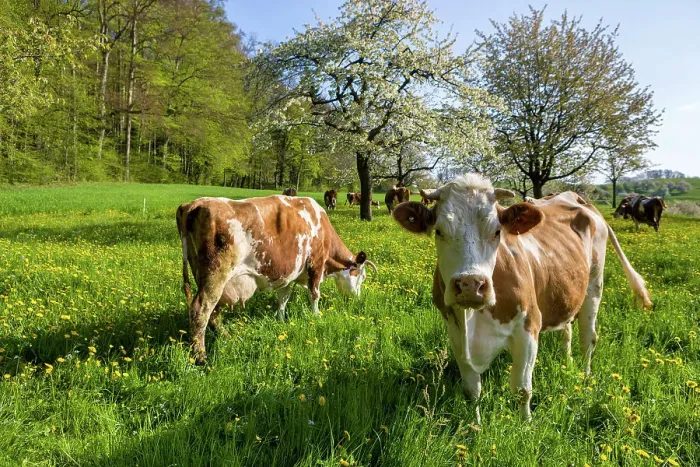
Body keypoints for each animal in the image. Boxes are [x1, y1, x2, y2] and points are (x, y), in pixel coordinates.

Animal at [177, 195, 377, 363]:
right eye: (362, 276)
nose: (357, 299)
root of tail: (194, 204)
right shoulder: (316, 264)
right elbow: (314, 295)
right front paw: (316, 316)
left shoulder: (287, 275)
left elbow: (283, 297)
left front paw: (281, 320)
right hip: (216, 275)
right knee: (201, 309)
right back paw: (201, 357)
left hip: (203, 276)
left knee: (213, 312)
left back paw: (226, 337)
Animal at [393, 174, 651, 421]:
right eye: (439, 231)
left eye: (497, 232)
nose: (470, 284)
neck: (474, 318)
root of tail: (579, 199)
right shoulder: (456, 333)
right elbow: (472, 390)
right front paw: (475, 426)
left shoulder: (528, 329)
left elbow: (522, 389)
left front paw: (525, 425)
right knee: (567, 330)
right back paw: (567, 362)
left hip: (595, 284)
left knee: (588, 338)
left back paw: (585, 377)